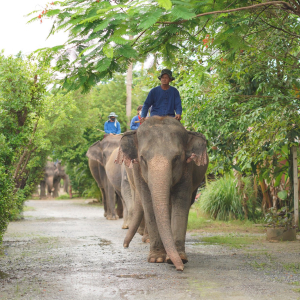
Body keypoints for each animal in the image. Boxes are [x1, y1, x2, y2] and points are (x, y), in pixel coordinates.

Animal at [115, 117, 209, 272]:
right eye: (143, 158)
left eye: (177, 158)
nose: (180, 268)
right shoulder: (139, 171)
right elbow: (149, 204)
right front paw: (157, 259)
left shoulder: (187, 168)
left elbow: (181, 204)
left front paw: (178, 258)